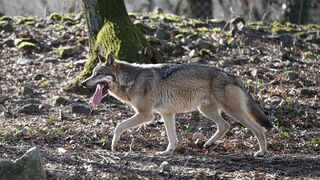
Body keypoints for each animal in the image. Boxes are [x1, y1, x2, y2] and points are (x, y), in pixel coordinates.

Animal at [82, 53, 272, 156]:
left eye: (98, 74)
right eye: (92, 73)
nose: (83, 83)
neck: (132, 79)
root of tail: (233, 76)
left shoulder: (146, 115)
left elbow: (118, 126)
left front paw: (114, 145)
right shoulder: (167, 114)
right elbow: (172, 138)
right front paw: (167, 152)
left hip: (232, 111)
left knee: (258, 128)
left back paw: (262, 152)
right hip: (206, 110)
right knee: (225, 125)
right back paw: (207, 144)